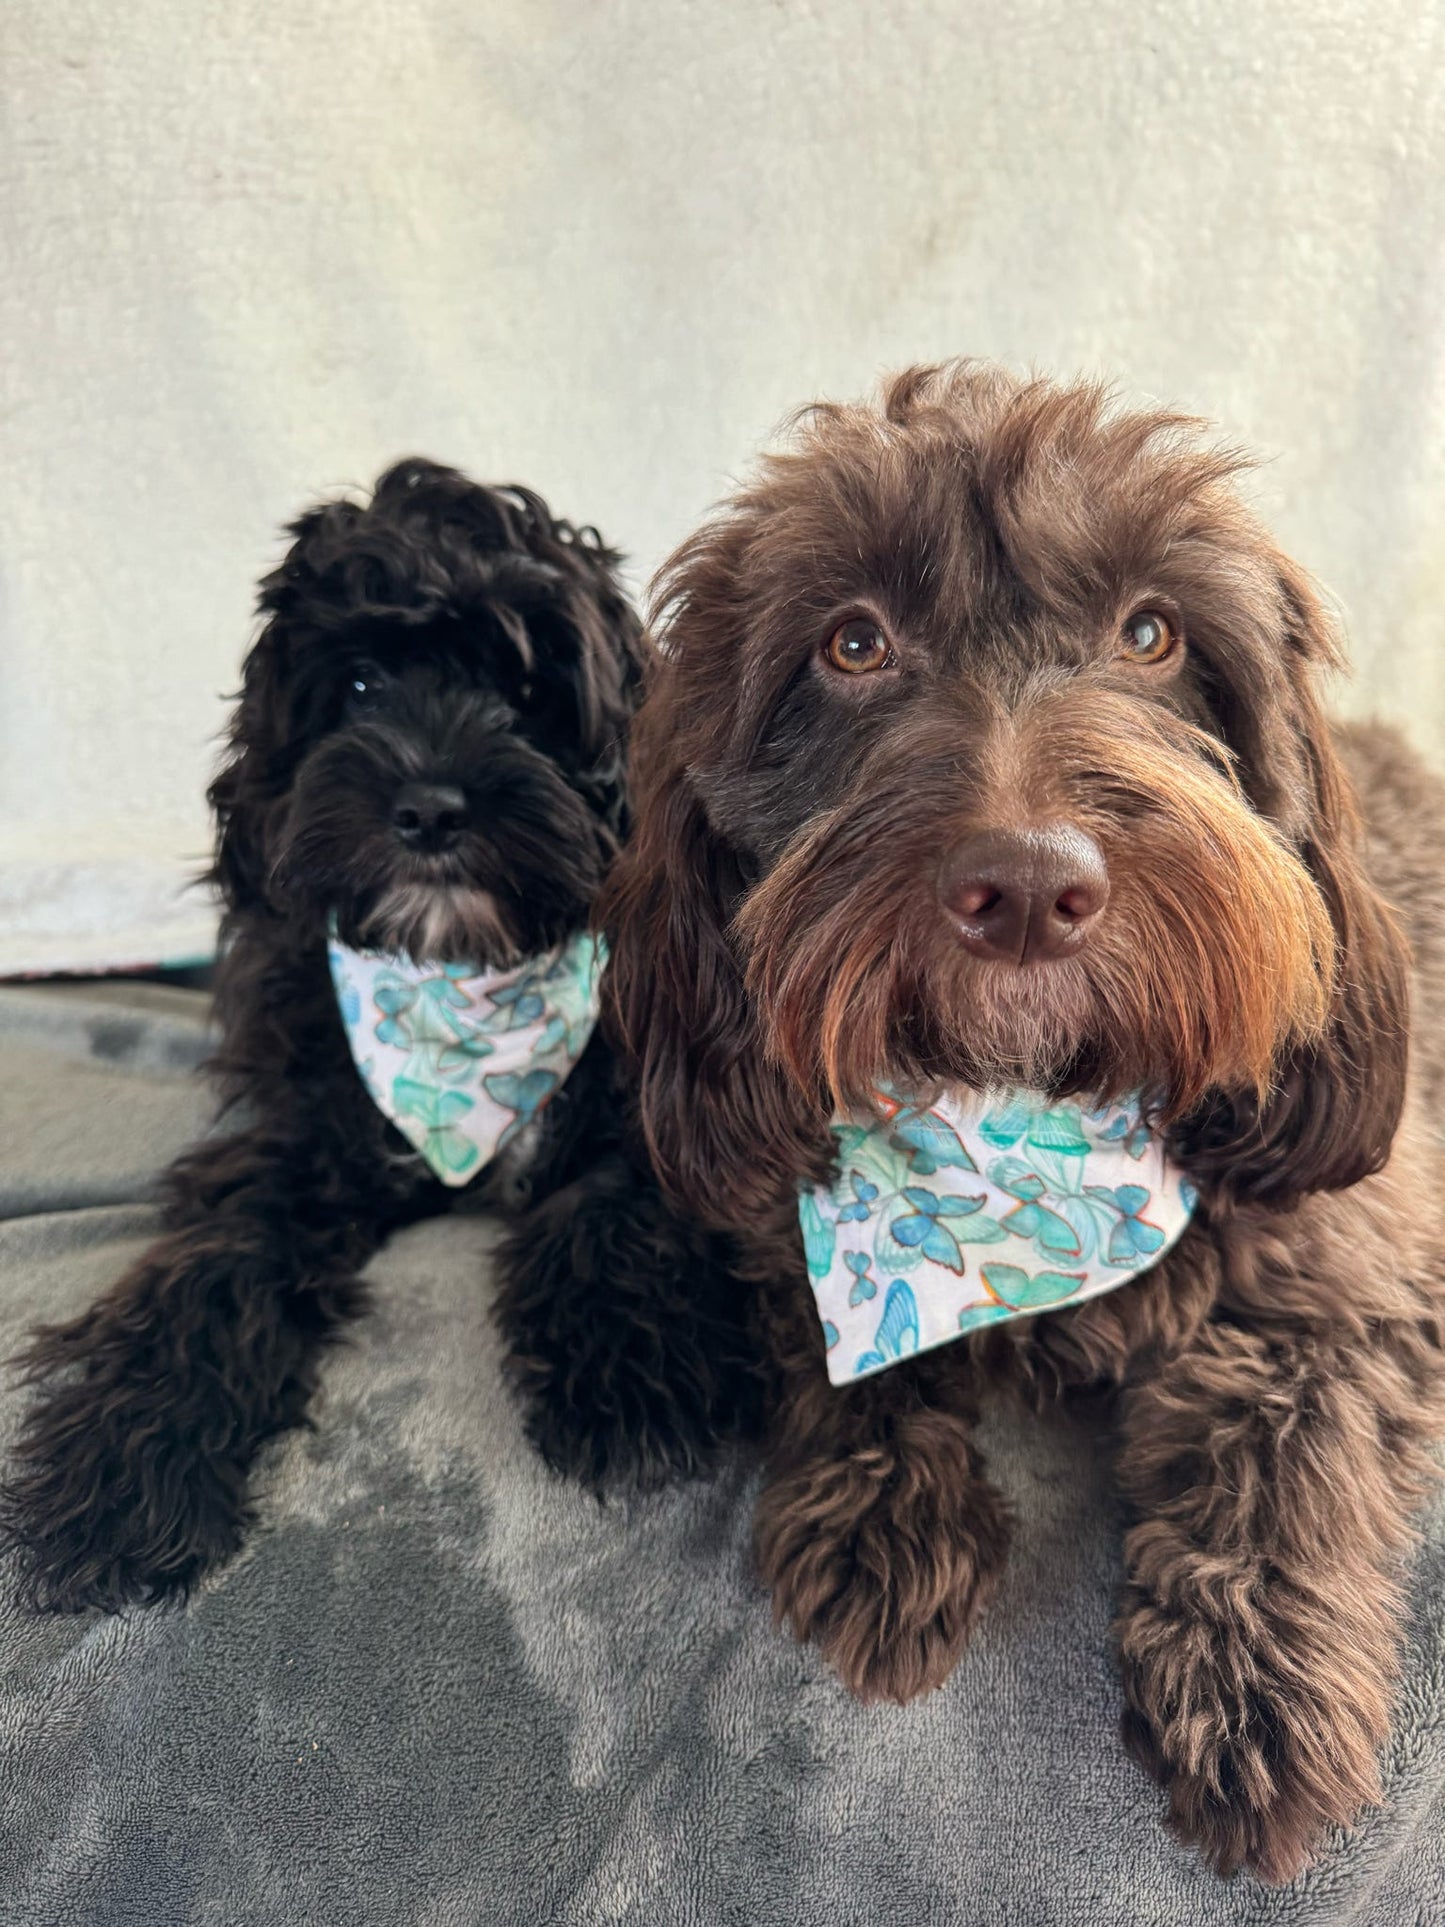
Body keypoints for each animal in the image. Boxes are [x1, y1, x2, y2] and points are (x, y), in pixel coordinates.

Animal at [0, 454, 747, 1610]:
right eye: (356, 688)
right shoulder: (302, 1130)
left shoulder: (649, 1106)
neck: (459, 985)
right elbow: (216, 1261)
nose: (431, 808)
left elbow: (608, 1204)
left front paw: (633, 1381)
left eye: (528, 694)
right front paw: (119, 1467)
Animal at [597, 364, 1445, 1880]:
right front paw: (883, 1514)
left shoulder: (1355, 1257)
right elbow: (837, 1348)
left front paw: (1258, 1674)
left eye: (1151, 633)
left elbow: (1292, 1428)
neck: (1022, 1125)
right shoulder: (789, 1217)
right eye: (853, 641)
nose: (1032, 887)